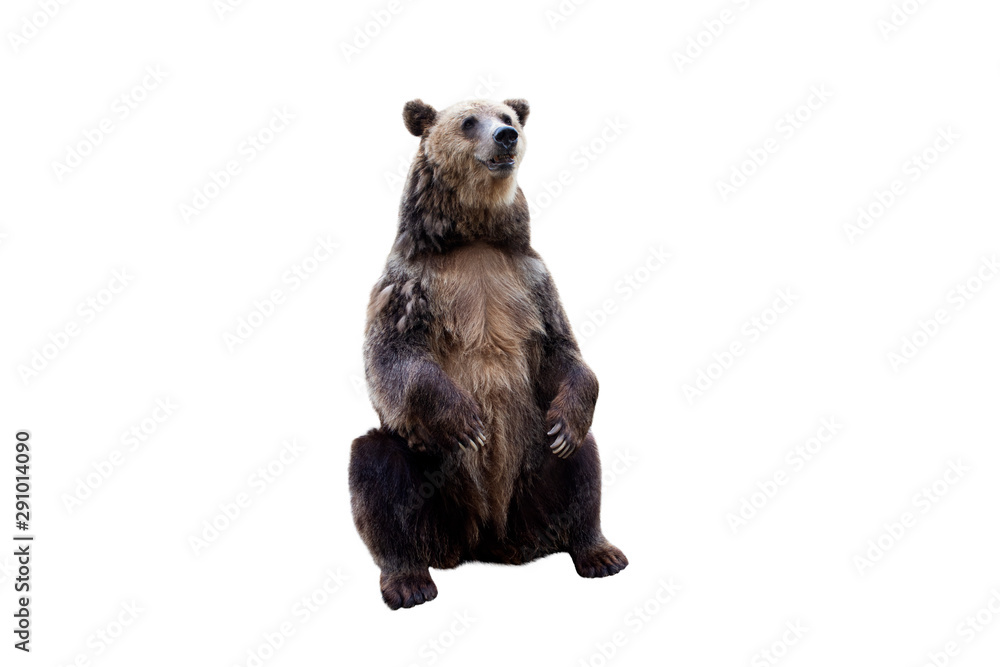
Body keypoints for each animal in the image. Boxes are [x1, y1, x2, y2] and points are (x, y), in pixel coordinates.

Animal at [348, 97, 627, 610]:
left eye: (508, 117)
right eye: (467, 121)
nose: (506, 137)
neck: (473, 238)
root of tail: (488, 541)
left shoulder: (530, 283)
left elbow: (563, 351)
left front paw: (569, 416)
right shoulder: (409, 285)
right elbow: (393, 360)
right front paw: (467, 422)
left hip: (532, 468)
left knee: (582, 465)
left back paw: (598, 551)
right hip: (435, 482)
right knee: (377, 468)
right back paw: (408, 580)